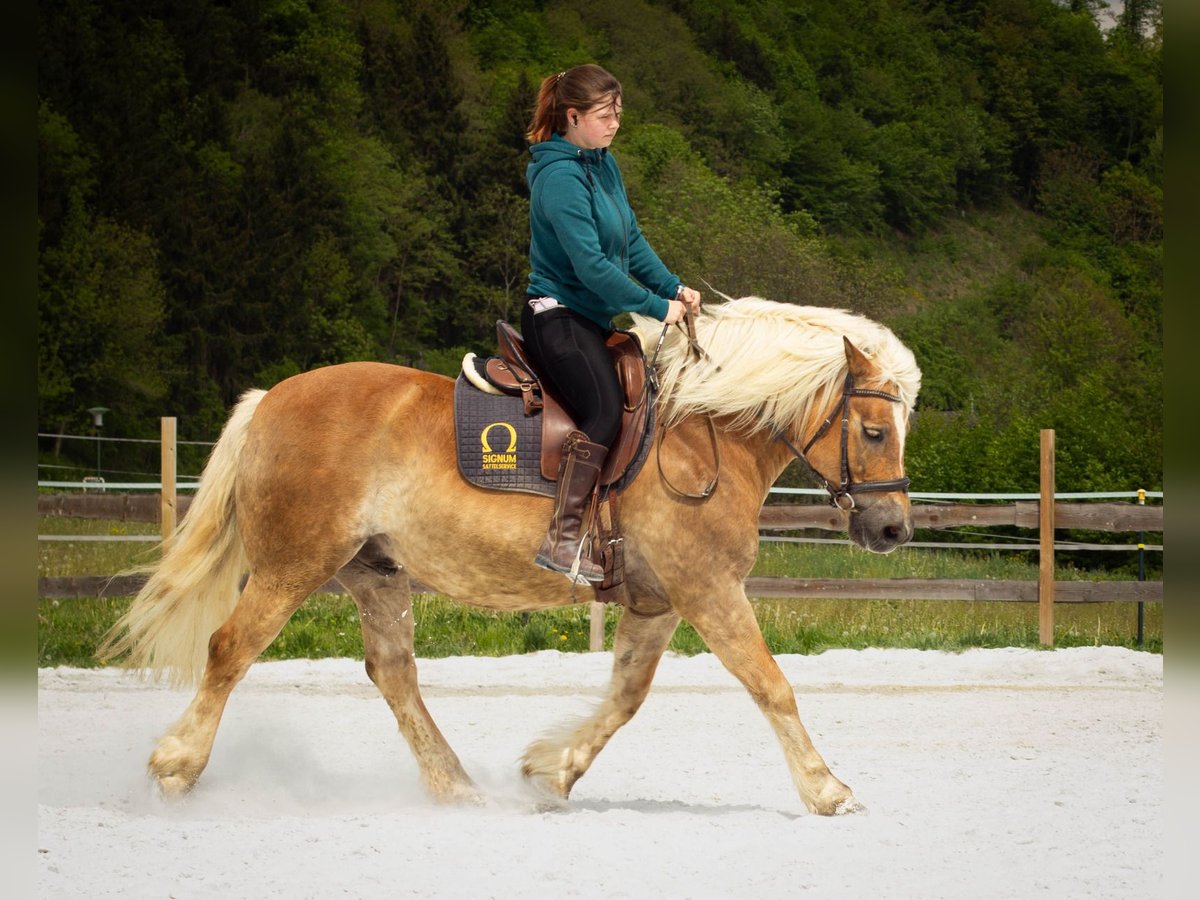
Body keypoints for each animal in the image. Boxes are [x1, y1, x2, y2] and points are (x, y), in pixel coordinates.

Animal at [100, 300, 916, 820]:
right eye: (875, 431)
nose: (892, 529)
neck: (703, 434)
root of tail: (272, 397)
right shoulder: (709, 590)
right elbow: (772, 686)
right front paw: (828, 791)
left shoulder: (660, 601)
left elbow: (626, 695)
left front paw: (551, 772)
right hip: (292, 566)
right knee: (230, 649)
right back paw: (175, 767)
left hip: (375, 572)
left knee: (393, 674)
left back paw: (457, 788)